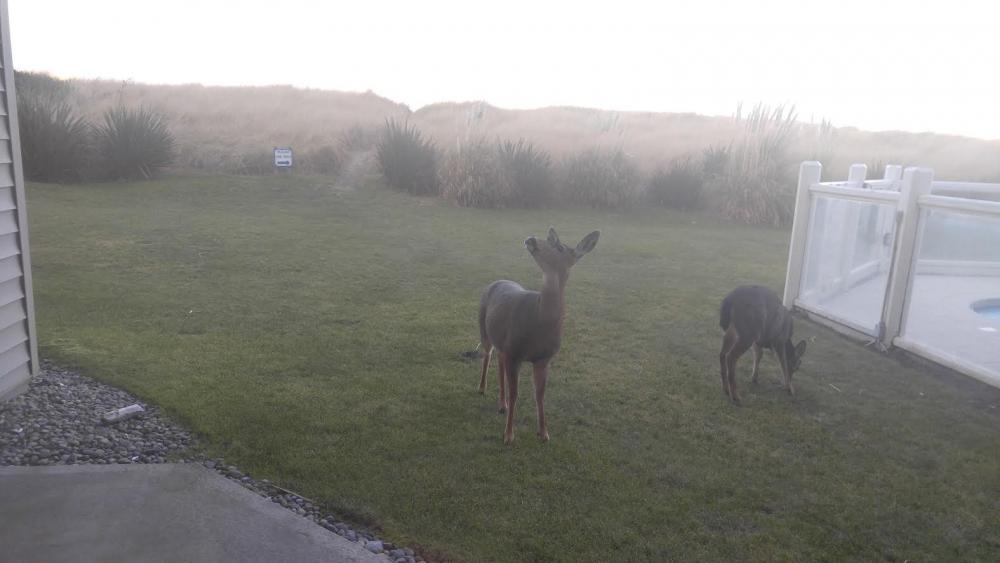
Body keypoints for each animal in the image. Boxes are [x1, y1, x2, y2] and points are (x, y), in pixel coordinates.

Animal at [477, 227, 600, 445]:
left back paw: (502, 404)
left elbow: (540, 395)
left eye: (558, 246)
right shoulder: (515, 353)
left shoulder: (544, 358)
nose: (531, 238)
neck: (539, 321)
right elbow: (516, 393)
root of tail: (497, 281)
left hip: (503, 343)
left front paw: (543, 433)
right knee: (487, 354)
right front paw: (508, 435)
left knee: (498, 358)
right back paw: (482, 389)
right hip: (484, 326)